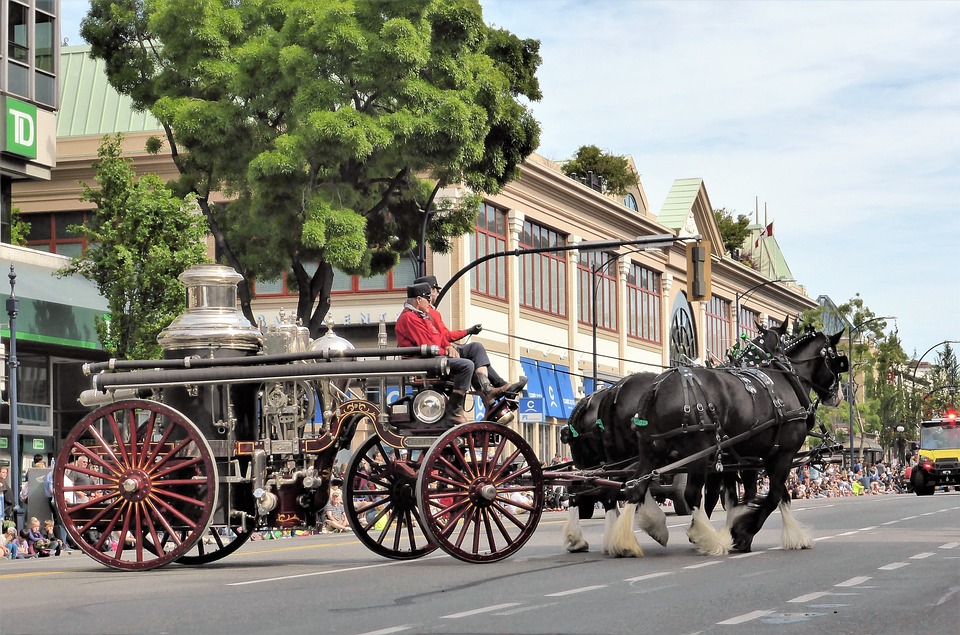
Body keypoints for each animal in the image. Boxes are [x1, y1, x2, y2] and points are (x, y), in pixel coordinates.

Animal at [608, 328, 848, 556]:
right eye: (838, 362)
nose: (838, 397)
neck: (786, 381)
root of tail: (658, 388)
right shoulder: (782, 455)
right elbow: (772, 495)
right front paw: (743, 532)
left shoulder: (761, 458)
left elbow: (776, 496)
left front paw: (793, 536)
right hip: (699, 452)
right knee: (691, 494)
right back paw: (711, 540)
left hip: (653, 450)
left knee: (635, 487)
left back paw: (627, 541)